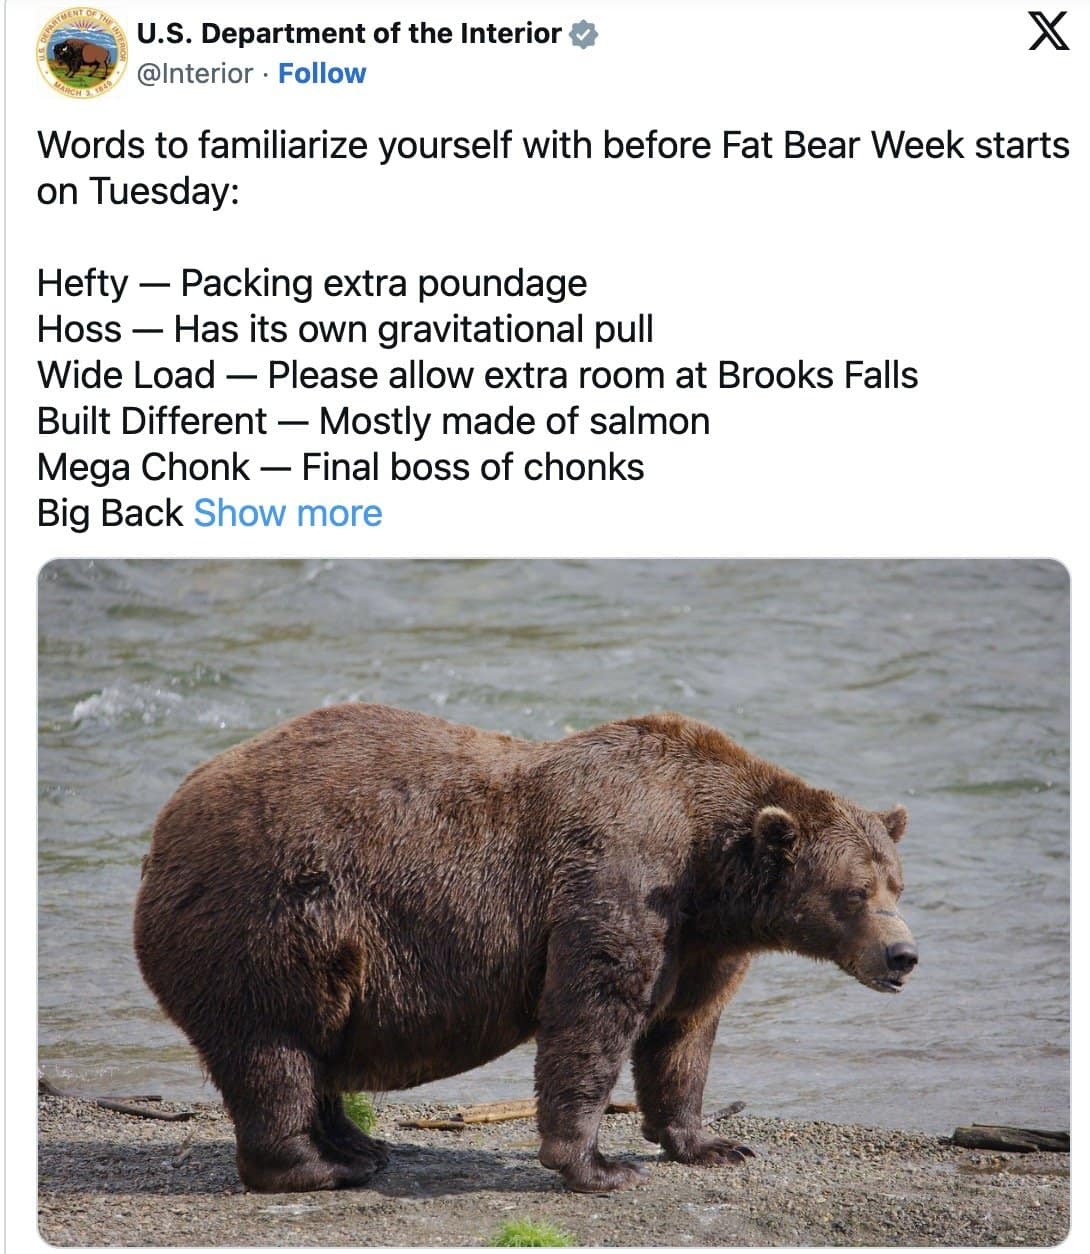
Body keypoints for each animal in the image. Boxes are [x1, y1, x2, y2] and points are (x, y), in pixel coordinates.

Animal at [133, 704, 917, 1194]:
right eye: (854, 892)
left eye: (897, 883)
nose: (902, 956)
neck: (710, 868)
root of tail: (163, 827)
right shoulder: (620, 878)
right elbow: (592, 1013)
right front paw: (599, 1166)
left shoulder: (701, 943)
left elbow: (682, 1034)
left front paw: (711, 1143)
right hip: (269, 918)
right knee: (274, 1048)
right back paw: (319, 1166)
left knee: (314, 1047)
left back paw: (359, 1145)